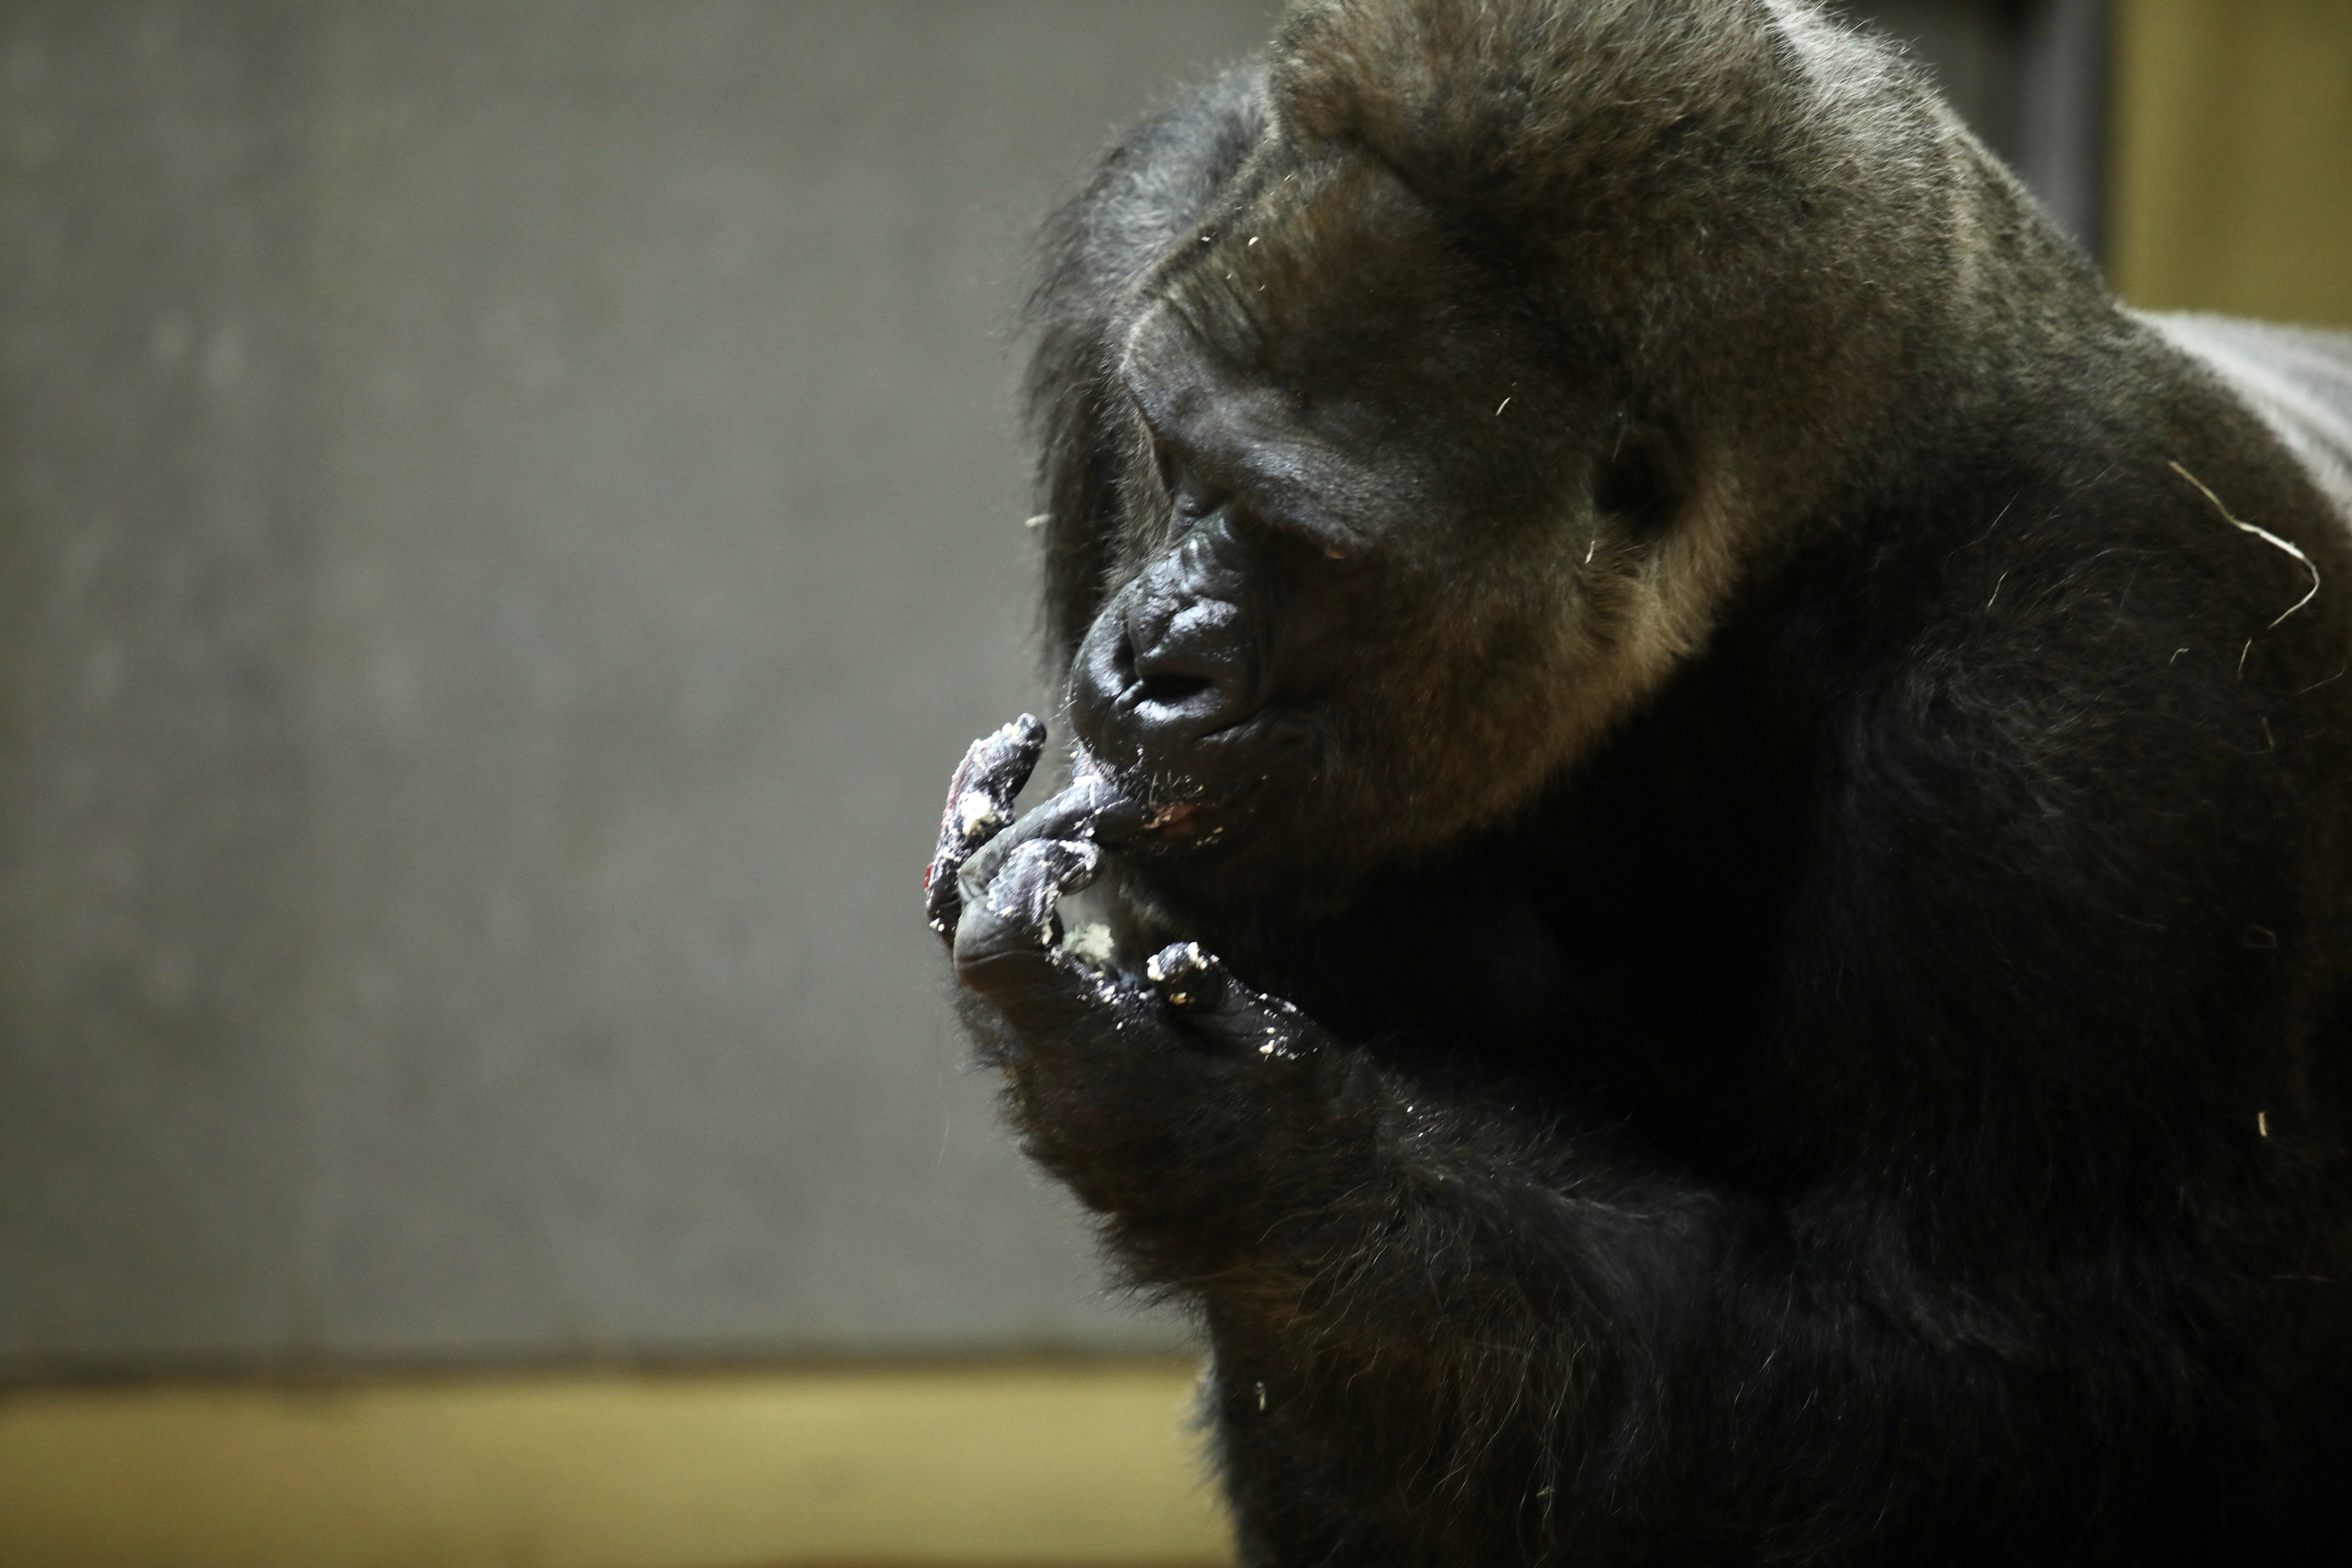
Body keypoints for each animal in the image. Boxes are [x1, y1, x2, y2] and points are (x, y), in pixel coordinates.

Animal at [924, 2, 2352, 1562]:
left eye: (1315, 553)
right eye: (1171, 456)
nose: (1155, 663)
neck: (1832, 479)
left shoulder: (2096, 700)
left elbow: (2023, 1382)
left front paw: (1227, 1143)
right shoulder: (1146, 244)